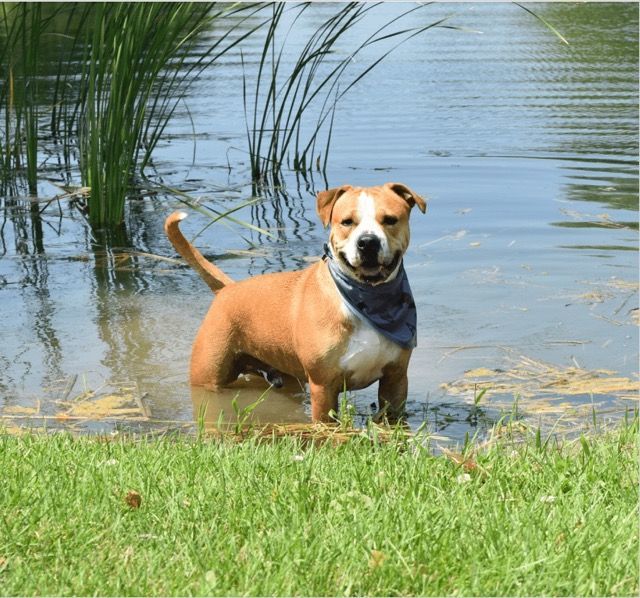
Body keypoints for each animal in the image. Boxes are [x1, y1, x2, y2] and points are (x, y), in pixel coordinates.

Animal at [165, 183, 424, 422]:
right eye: (347, 222)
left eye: (390, 220)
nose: (368, 242)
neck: (366, 300)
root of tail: (227, 289)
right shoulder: (323, 386)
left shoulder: (395, 380)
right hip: (208, 376)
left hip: (288, 374)